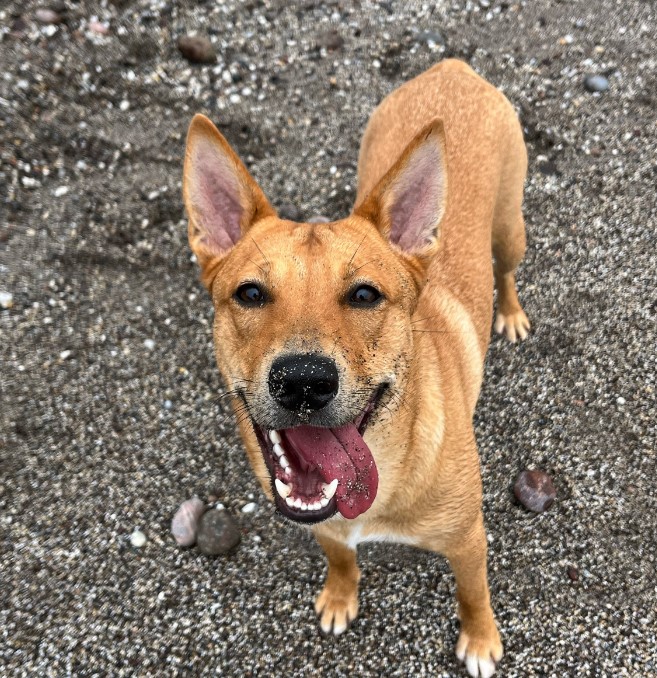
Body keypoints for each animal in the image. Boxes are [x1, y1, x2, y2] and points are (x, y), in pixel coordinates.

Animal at [182, 61, 532, 676]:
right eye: (249, 293)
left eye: (365, 295)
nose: (302, 380)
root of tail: (452, 67)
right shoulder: (323, 526)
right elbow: (341, 559)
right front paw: (341, 596)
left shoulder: (468, 538)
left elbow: (473, 592)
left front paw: (481, 639)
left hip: (510, 228)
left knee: (508, 270)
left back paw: (510, 314)